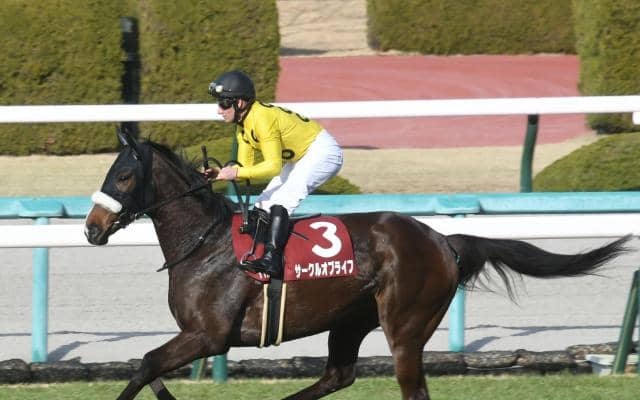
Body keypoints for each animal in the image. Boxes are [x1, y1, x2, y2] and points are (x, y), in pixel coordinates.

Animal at [84, 130, 630, 400]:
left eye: (125, 176)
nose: (91, 228)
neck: (206, 244)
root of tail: (443, 240)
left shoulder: (209, 336)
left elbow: (145, 364)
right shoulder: (198, 337)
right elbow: (148, 369)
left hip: (406, 326)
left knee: (411, 389)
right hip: (349, 320)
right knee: (338, 376)